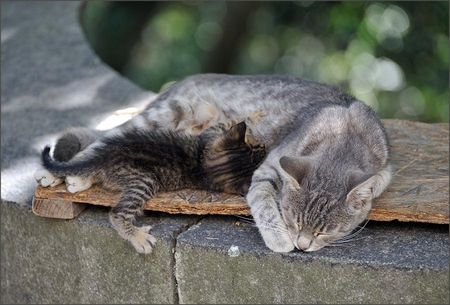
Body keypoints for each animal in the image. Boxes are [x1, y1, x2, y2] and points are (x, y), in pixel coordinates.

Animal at [37, 115, 268, 253]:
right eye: (258, 146)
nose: (264, 145)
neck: (203, 165)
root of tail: (104, 156)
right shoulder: (208, 138)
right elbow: (219, 125)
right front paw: (245, 119)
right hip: (145, 181)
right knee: (117, 214)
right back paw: (138, 237)